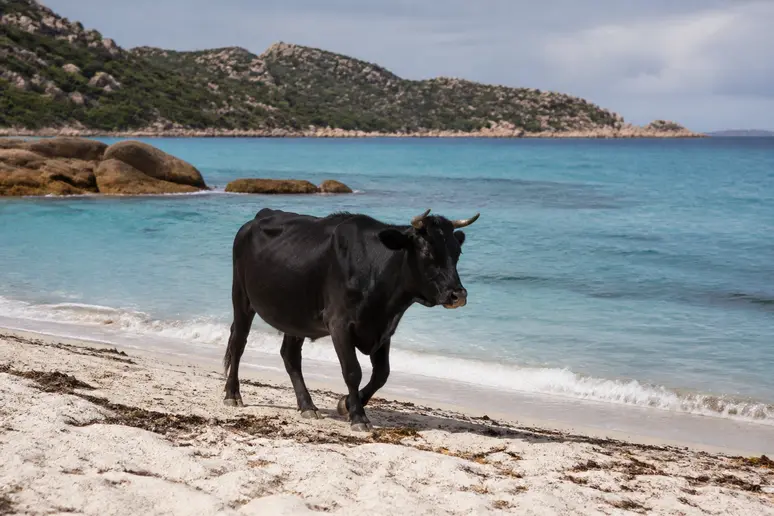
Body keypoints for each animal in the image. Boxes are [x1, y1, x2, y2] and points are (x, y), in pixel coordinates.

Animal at [222, 207, 480, 431]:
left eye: (457, 252)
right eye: (427, 251)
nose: (458, 294)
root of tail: (259, 217)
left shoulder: (383, 328)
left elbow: (382, 374)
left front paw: (345, 404)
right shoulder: (340, 325)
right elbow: (353, 371)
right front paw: (358, 416)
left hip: (295, 317)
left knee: (290, 356)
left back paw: (307, 406)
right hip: (241, 297)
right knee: (238, 343)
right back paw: (232, 394)